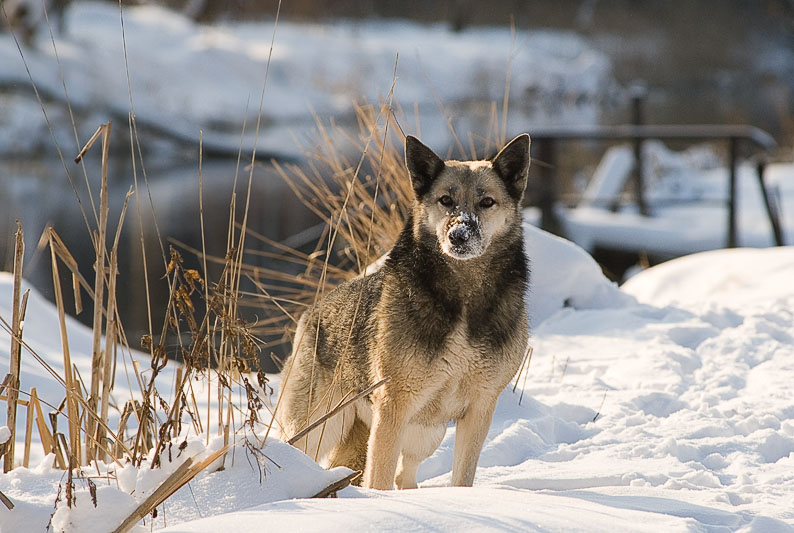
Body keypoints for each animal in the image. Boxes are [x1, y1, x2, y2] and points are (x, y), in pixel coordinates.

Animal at [276, 134, 528, 490]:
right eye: (446, 200)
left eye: (487, 202)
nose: (458, 235)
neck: (462, 298)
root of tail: (311, 313)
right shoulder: (394, 404)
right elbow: (378, 478)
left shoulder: (480, 408)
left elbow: (461, 478)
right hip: (316, 427)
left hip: (426, 434)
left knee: (402, 474)